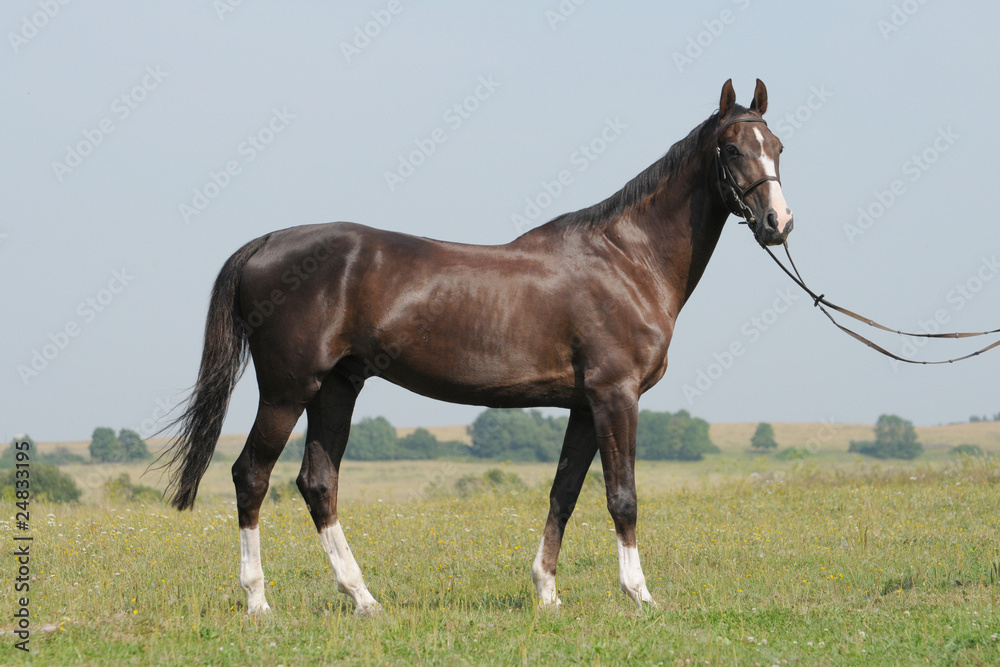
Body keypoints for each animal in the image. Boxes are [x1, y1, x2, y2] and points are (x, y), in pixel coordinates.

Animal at [163, 78, 793, 615]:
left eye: (778, 146)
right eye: (731, 149)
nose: (778, 223)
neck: (626, 260)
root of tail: (267, 243)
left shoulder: (583, 405)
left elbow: (564, 493)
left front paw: (546, 593)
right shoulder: (616, 396)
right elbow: (622, 496)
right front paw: (639, 595)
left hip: (336, 388)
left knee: (318, 484)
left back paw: (363, 598)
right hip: (288, 390)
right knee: (251, 476)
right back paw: (258, 601)